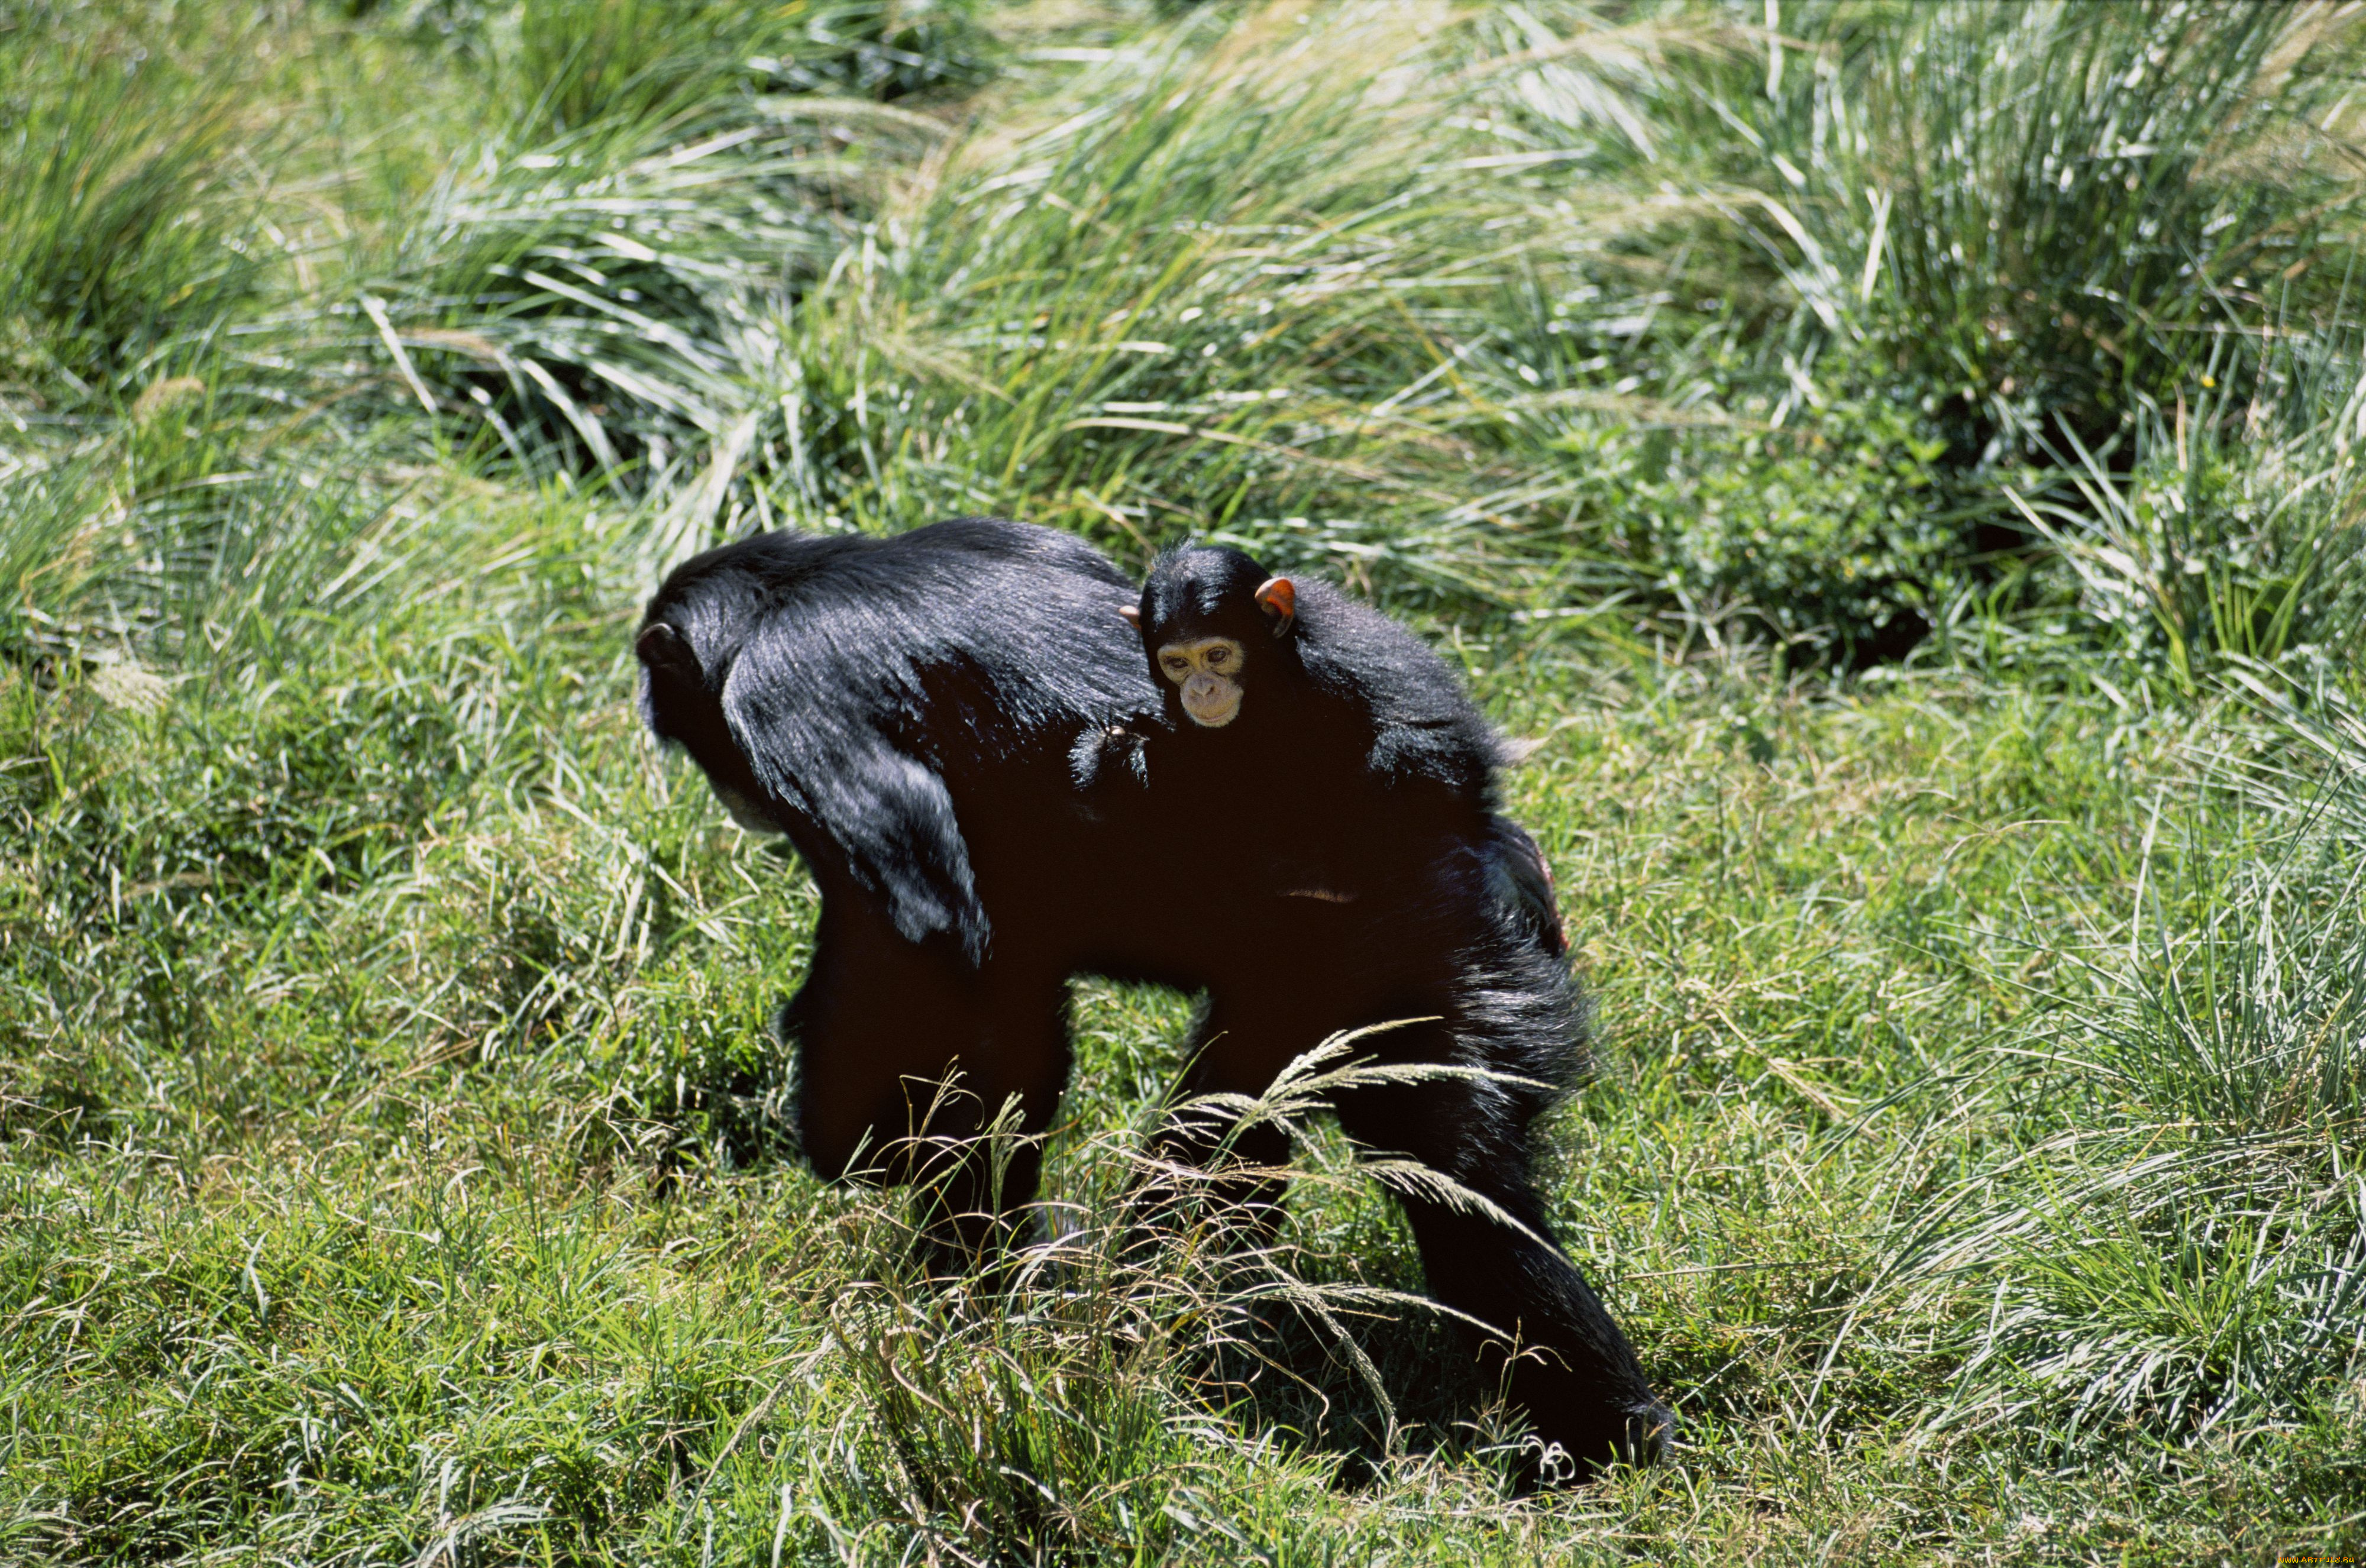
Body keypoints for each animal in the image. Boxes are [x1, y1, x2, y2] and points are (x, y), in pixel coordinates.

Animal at [1112, 539, 1685, 1476]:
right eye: (1176, 660)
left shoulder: (1363, 665)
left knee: (1460, 1187)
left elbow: (1430, 757)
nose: (1201, 689)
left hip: (1477, 986)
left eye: (1218, 653)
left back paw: (1614, 1427)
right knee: (1215, 1133)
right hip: (1283, 1016)